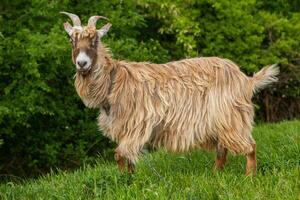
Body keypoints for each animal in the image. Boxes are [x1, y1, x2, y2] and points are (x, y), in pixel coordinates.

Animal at [61, 12, 278, 175]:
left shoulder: (136, 125)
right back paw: (216, 174)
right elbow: (125, 156)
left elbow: (120, 153)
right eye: (72, 40)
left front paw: (124, 179)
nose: (82, 63)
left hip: (231, 115)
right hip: (218, 120)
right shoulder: (125, 127)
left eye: (95, 40)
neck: (113, 82)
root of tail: (246, 80)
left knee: (249, 146)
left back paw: (249, 176)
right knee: (222, 150)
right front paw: (129, 178)